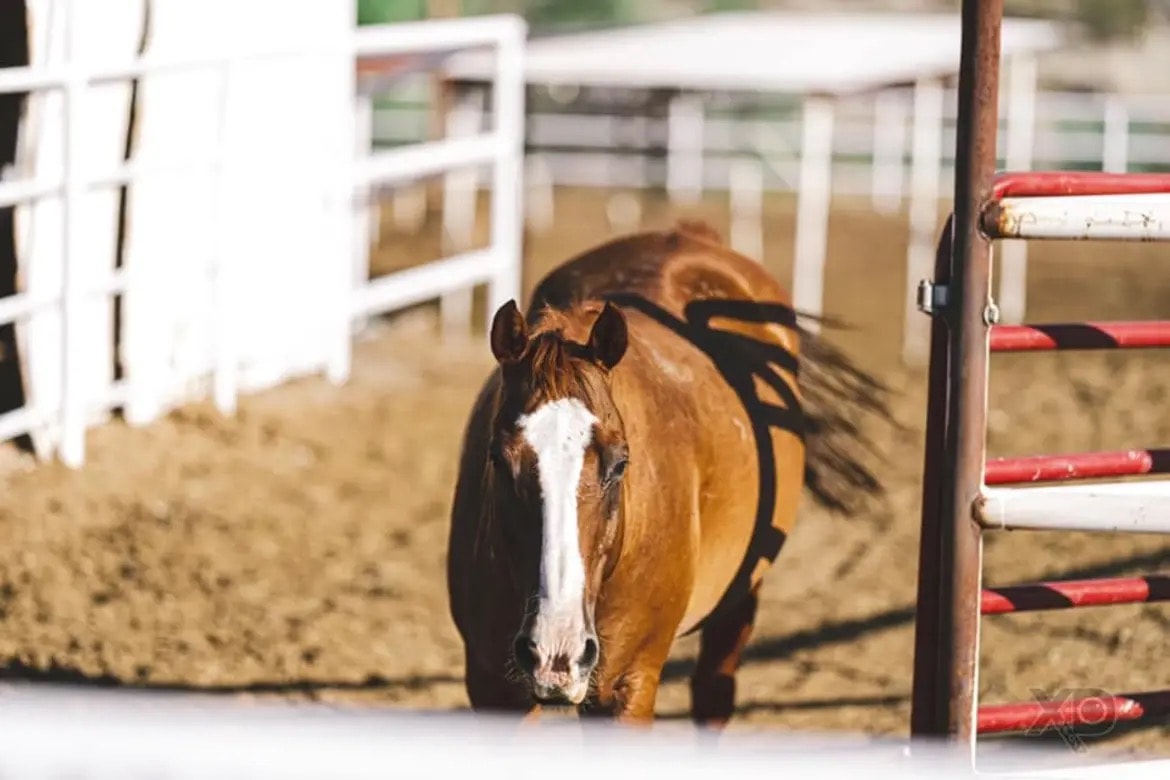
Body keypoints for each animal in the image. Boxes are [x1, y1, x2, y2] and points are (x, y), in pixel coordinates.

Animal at [446, 219, 892, 726]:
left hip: (740, 599)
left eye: (620, 463)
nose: (555, 653)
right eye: (498, 458)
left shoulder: (627, 687)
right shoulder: (493, 689)